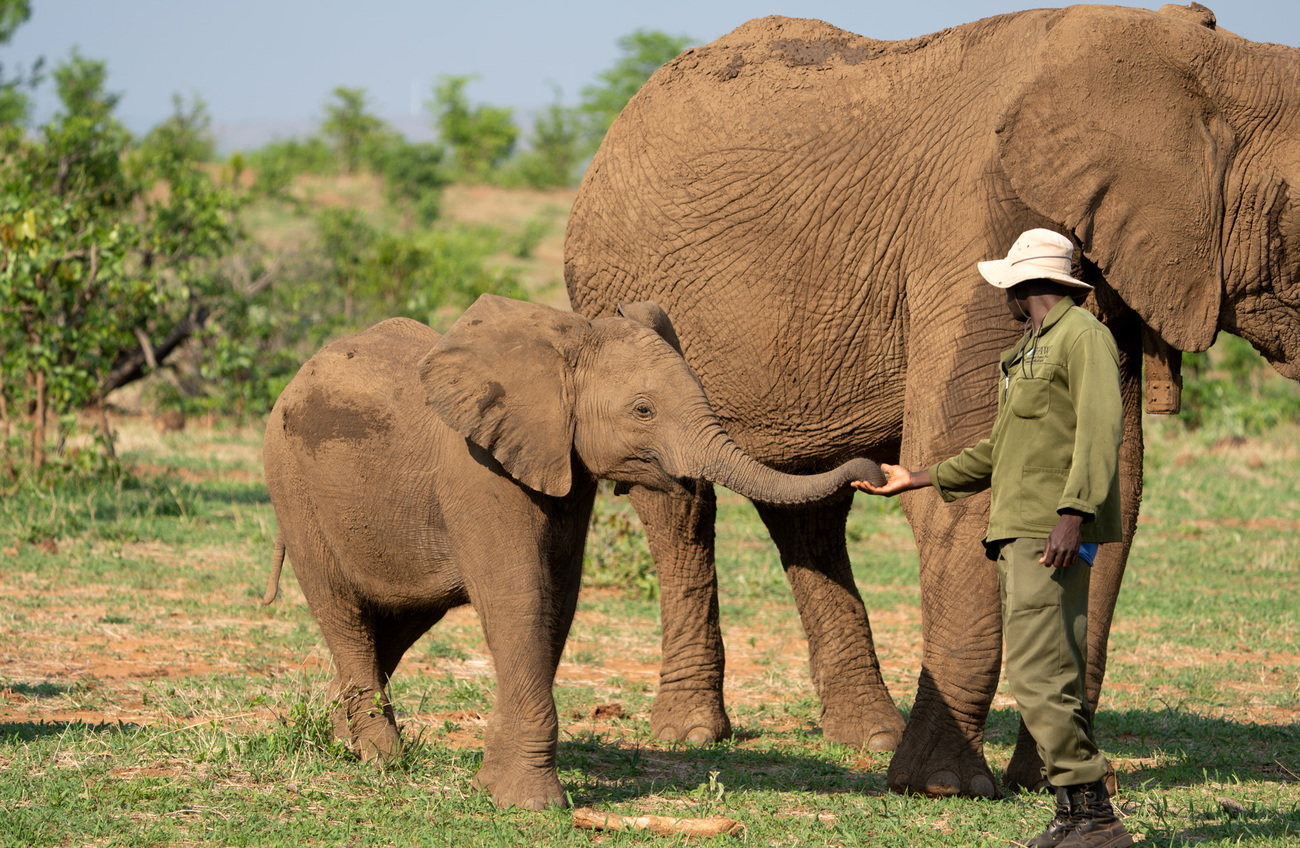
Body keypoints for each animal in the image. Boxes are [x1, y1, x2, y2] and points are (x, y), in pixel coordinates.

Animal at [257, 295, 883, 811]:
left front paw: (492, 787)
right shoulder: (479, 471)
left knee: (397, 620)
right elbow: (520, 601)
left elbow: (557, 601)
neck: (565, 340)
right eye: (643, 411)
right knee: (343, 611)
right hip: (291, 483)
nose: (873, 471)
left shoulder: (566, 468)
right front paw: (530, 804)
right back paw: (380, 757)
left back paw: (343, 737)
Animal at [566, 4, 1300, 801]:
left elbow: (1109, 486)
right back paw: (693, 732)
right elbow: (965, 477)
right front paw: (944, 785)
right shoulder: (978, 221)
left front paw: (1059, 780)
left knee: (808, 503)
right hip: (618, 293)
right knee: (677, 502)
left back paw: (867, 735)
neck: (1204, 58)